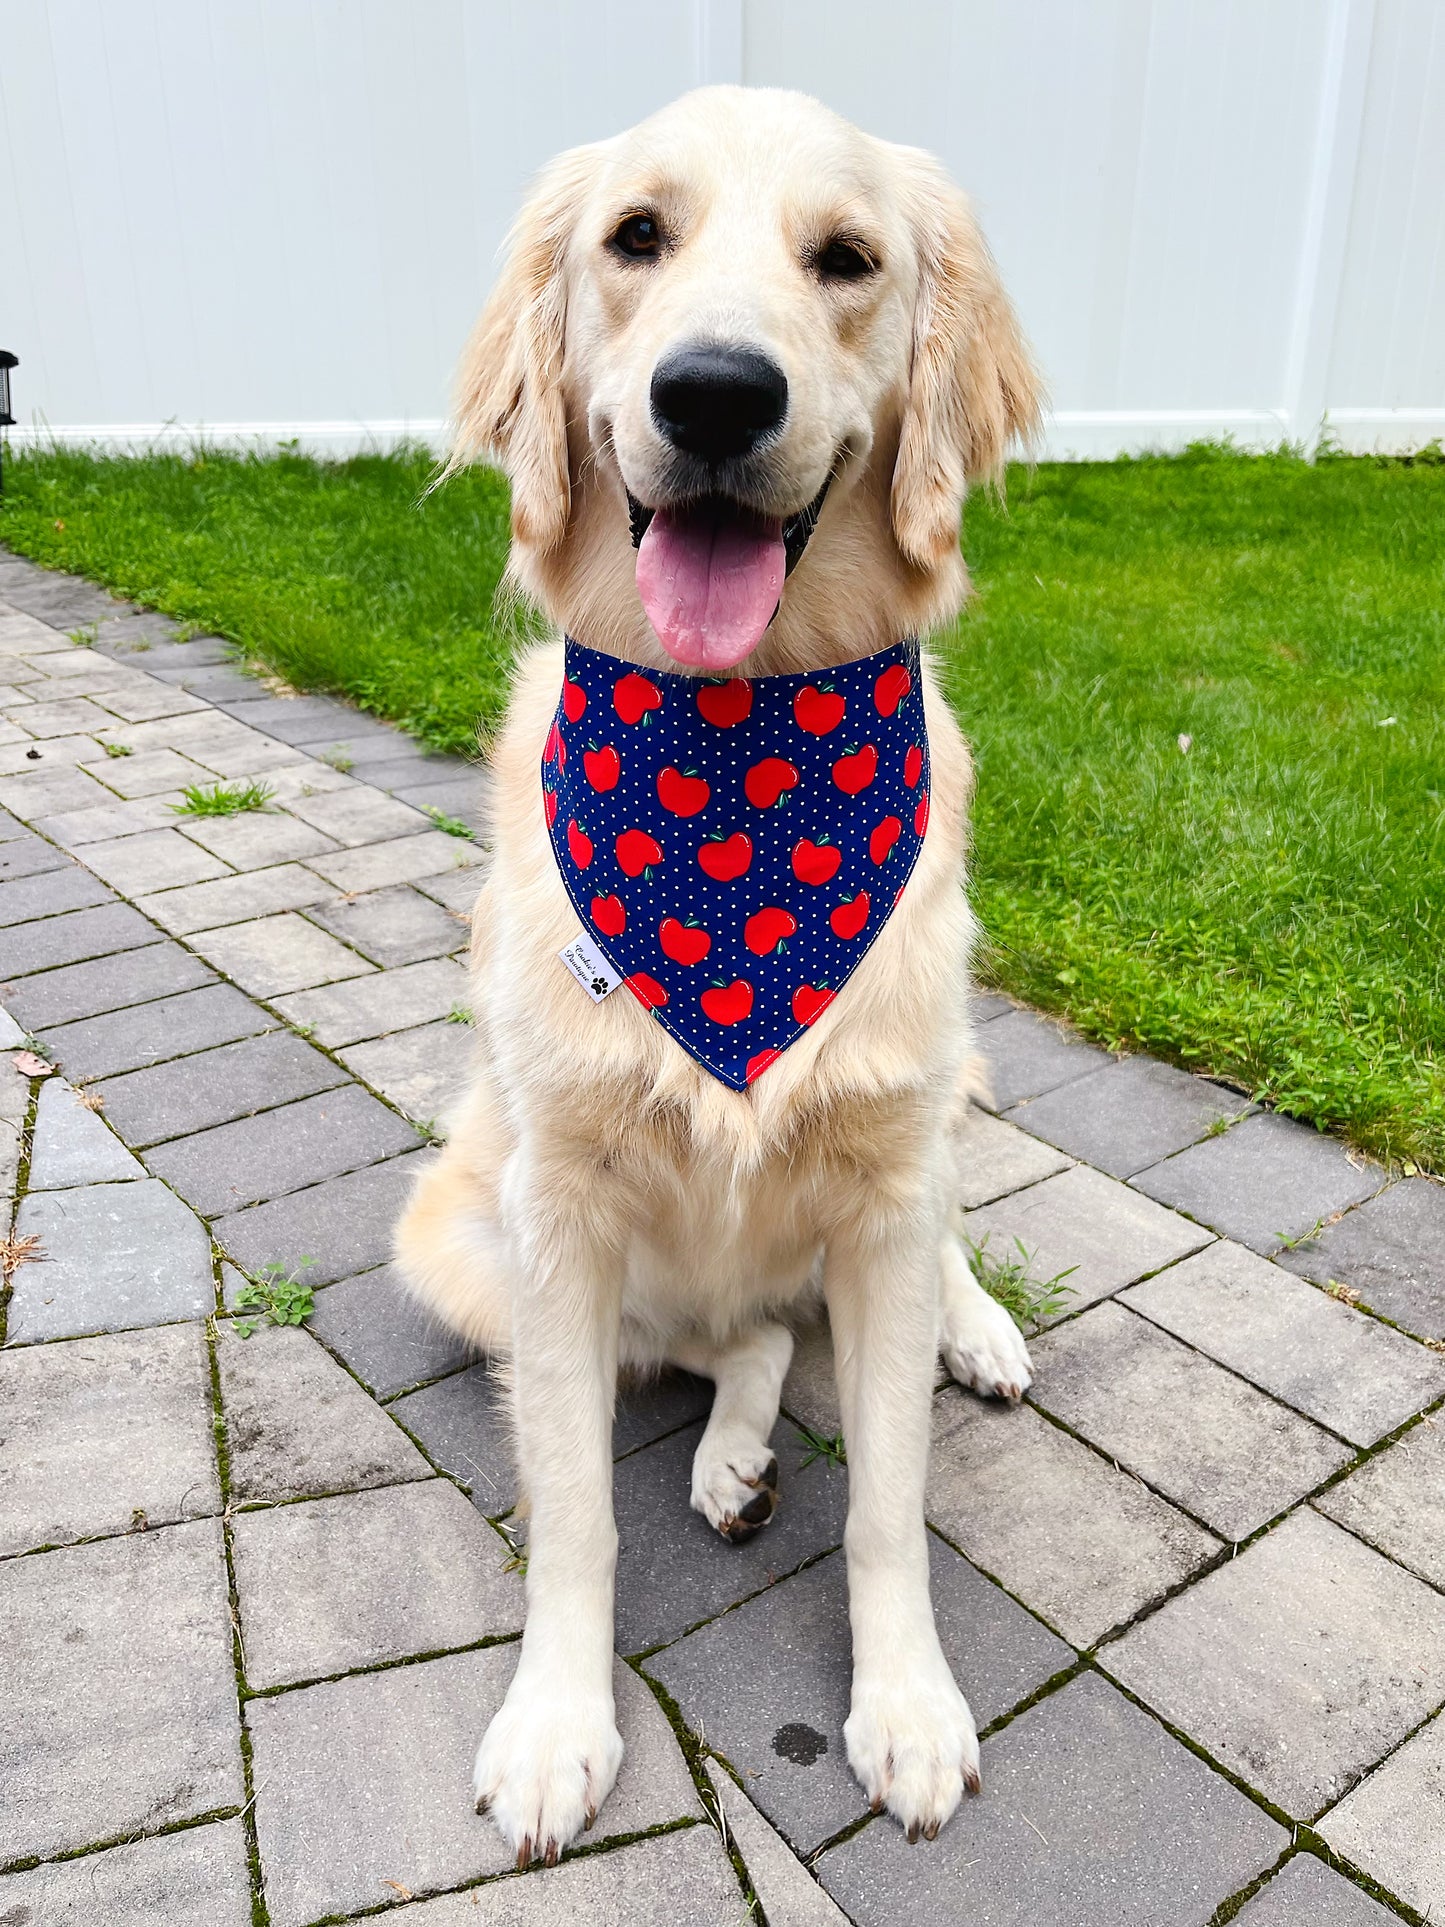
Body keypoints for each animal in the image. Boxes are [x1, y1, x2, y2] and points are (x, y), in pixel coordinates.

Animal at [398, 86, 1040, 1865]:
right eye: (637, 238)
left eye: (847, 259)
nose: (714, 392)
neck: (743, 751)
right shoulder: (556, 1219)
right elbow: (574, 1517)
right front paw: (557, 1721)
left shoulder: (884, 1196)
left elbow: (890, 1503)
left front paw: (907, 1706)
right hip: (462, 1243)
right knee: (735, 1340)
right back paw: (732, 1458)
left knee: (887, 1274)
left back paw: (977, 1333)